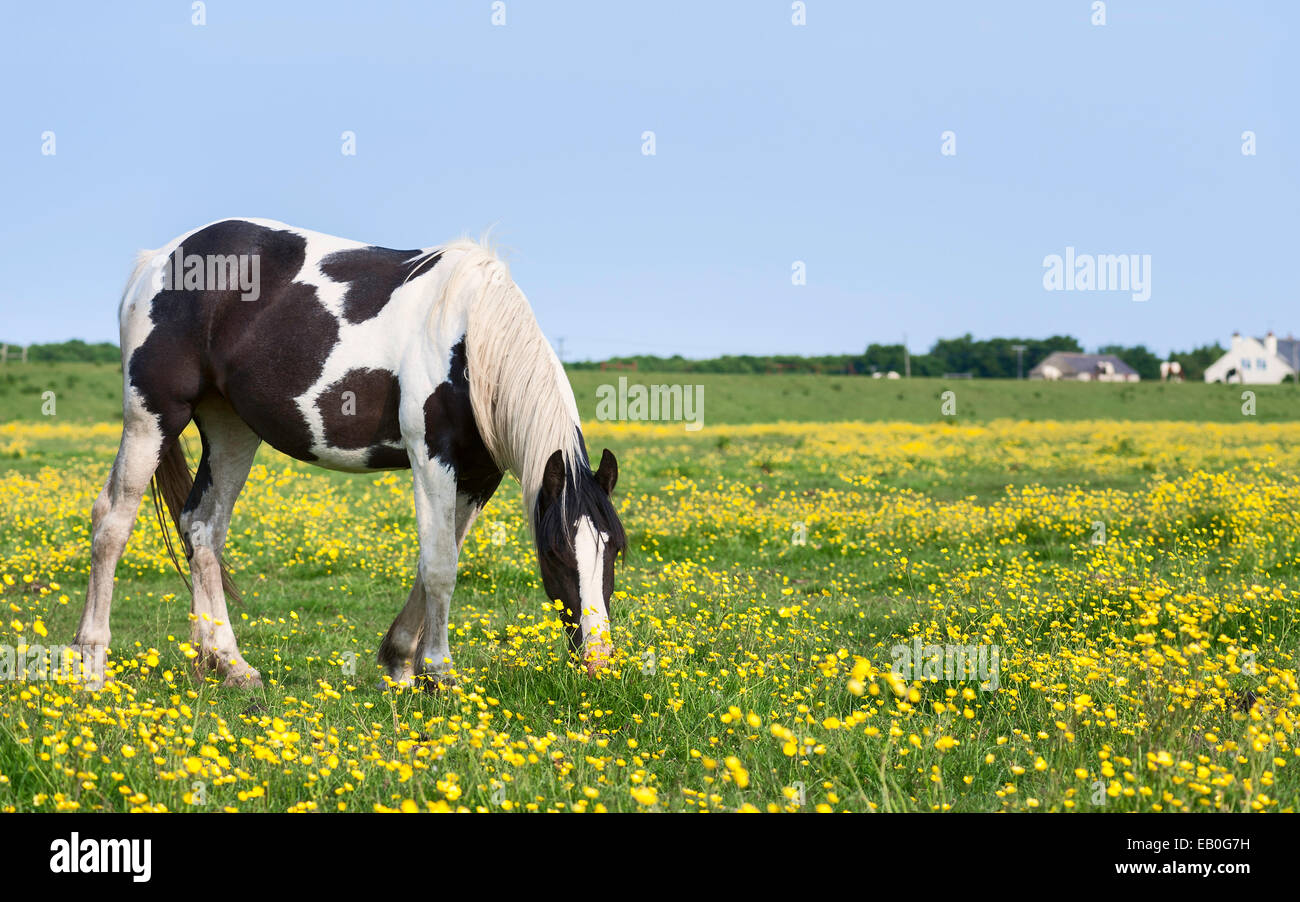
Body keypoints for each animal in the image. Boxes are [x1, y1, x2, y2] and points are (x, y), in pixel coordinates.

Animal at [73, 219, 626, 691]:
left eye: (615, 549)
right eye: (555, 553)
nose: (599, 661)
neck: (469, 338)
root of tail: (158, 260)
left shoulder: (476, 477)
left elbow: (437, 560)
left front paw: (401, 664)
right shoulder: (431, 458)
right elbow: (440, 566)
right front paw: (439, 672)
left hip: (230, 428)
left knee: (203, 529)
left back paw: (230, 665)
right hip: (152, 416)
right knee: (111, 522)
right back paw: (90, 665)